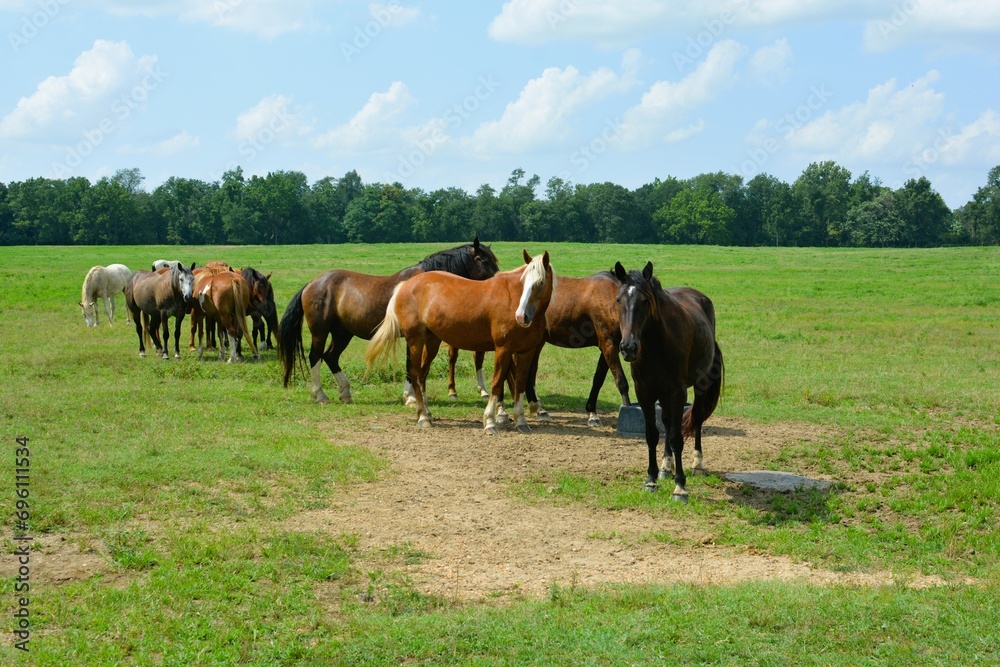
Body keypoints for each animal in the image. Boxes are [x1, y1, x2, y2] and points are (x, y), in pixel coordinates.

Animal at [278, 240, 500, 408]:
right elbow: (411, 364)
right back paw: (320, 395)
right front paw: (411, 397)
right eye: (483, 260)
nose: (499, 281)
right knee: (315, 356)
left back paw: (345, 393)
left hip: (343, 334)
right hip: (320, 332)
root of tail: (312, 283)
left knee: (330, 357)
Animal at [366, 248, 556, 436]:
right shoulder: (503, 349)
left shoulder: (526, 351)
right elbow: (497, 384)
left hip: (432, 341)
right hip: (415, 340)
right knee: (414, 374)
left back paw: (427, 413)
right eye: (523, 281)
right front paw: (490, 422)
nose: (521, 316)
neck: (512, 298)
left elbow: (520, 384)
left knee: (422, 375)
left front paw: (521, 421)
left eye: (540, 282)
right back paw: (422, 417)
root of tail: (405, 285)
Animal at [612, 260, 724, 500]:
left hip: (698, 385)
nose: (628, 347)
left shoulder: (677, 393)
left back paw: (697, 464)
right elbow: (652, 434)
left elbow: (676, 437)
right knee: (666, 422)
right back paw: (666, 466)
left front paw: (680, 486)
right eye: (618, 299)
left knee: (697, 419)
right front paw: (652, 479)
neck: (656, 344)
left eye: (645, 301)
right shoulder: (644, 393)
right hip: (662, 395)